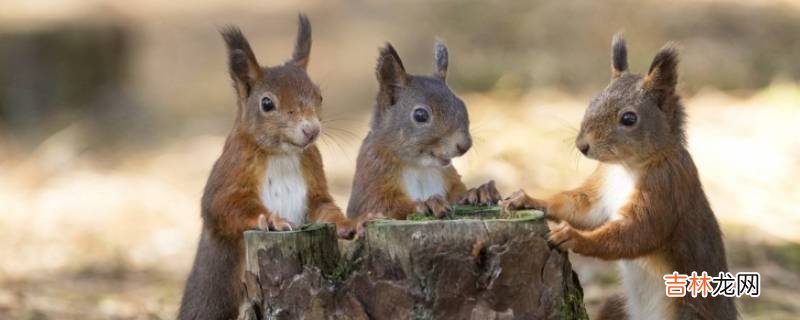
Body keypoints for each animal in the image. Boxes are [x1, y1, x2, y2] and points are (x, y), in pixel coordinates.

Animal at [180, 15, 360, 320]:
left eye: (319, 96)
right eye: (266, 103)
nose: (311, 130)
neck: (282, 154)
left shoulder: (313, 175)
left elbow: (323, 206)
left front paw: (346, 223)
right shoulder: (231, 171)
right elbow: (224, 206)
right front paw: (273, 220)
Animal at [346, 42, 500, 220]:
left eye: (462, 105)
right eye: (420, 115)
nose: (464, 145)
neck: (420, 167)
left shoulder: (450, 179)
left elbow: (458, 195)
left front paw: (479, 192)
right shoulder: (372, 183)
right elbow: (382, 208)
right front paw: (428, 203)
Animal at [500, 33, 736, 318]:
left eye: (629, 118)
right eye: (592, 101)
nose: (582, 145)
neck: (626, 167)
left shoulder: (666, 186)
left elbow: (637, 232)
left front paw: (573, 237)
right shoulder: (601, 189)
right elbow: (580, 207)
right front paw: (529, 199)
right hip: (616, 305)